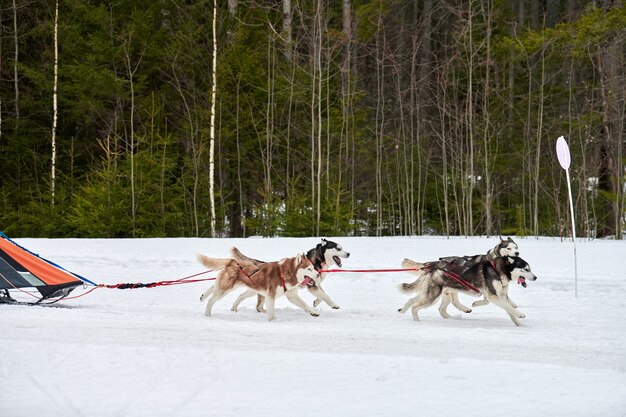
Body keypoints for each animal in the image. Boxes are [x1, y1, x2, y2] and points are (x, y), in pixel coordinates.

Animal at [398, 255, 532, 326]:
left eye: (529, 269)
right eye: (526, 269)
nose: (535, 277)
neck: (497, 269)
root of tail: (432, 268)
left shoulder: (500, 296)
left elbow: (508, 308)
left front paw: (518, 323)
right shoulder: (494, 296)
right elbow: (508, 306)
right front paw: (520, 314)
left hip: (433, 294)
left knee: (417, 301)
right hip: (432, 297)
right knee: (415, 307)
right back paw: (417, 321)